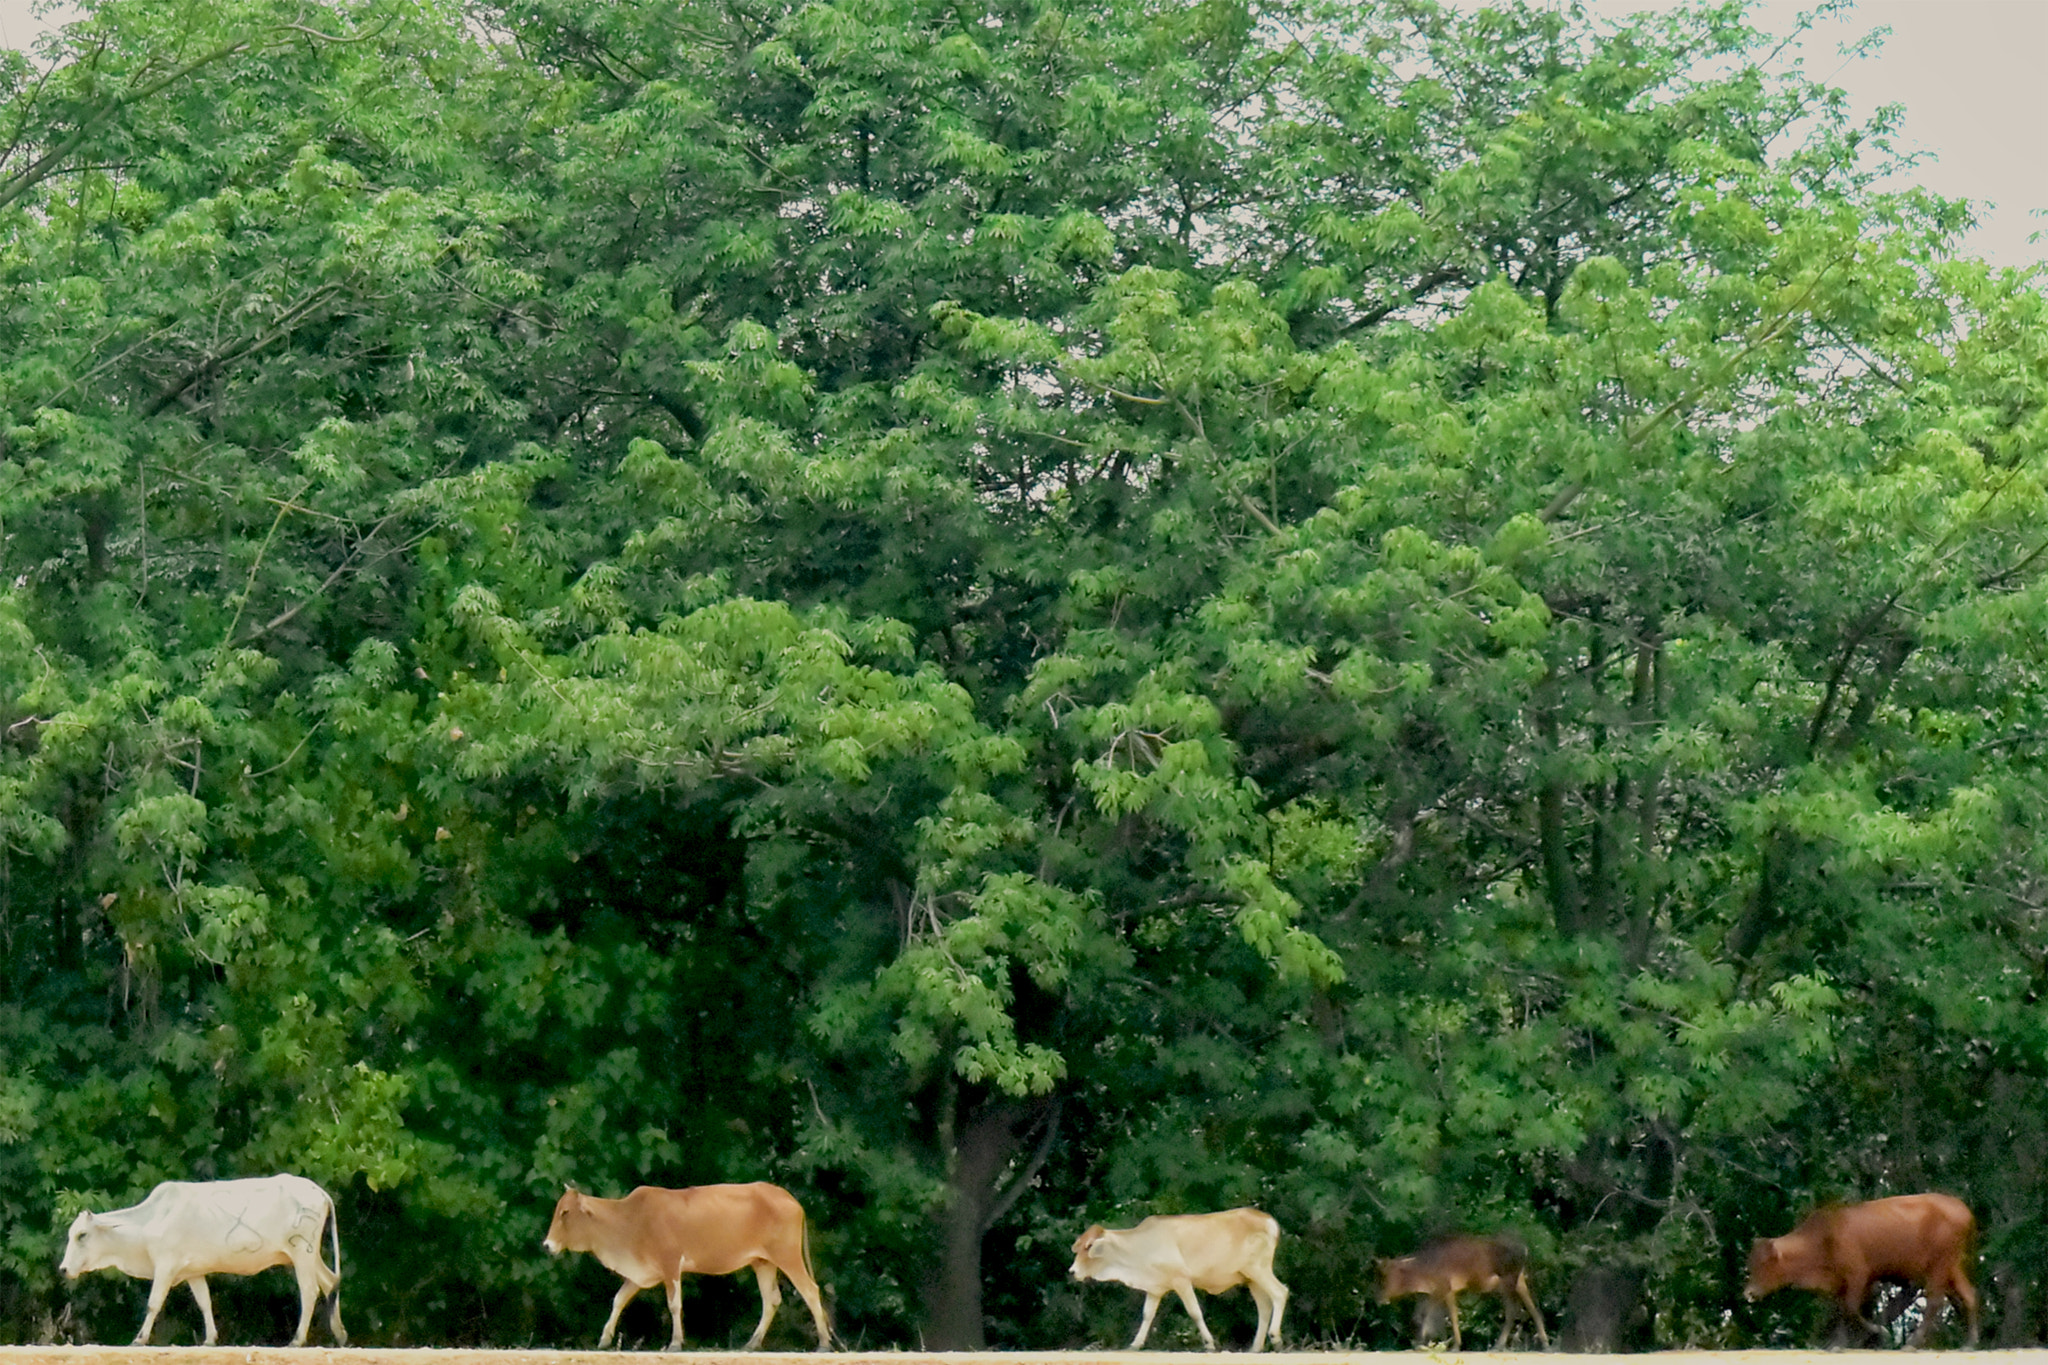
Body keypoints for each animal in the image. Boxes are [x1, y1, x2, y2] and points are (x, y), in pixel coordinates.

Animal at [548, 1178, 835, 1350]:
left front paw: (675, 1342)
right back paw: (752, 1343)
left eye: (565, 1212)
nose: (548, 1244)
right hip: (762, 1262)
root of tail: (790, 1199)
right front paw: (604, 1339)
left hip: (787, 1256)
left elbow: (674, 1304)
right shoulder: (641, 1274)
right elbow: (619, 1299)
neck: (630, 1220)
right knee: (772, 1299)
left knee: (810, 1291)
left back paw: (823, 1342)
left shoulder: (670, 1264)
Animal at [1073, 1211, 1277, 1350]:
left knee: (1279, 1293)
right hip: (1251, 1279)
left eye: (1089, 1247)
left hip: (1258, 1269)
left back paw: (1276, 1338)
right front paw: (1135, 1344)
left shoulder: (1181, 1280)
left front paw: (1209, 1343)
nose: (1072, 1270)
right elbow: (1147, 1315)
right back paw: (1256, 1347)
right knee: (1265, 1306)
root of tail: (1268, 1220)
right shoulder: (1154, 1289)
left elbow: (1195, 1312)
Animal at [1384, 1236, 1540, 1350]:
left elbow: (1444, 1317)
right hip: (1516, 1282)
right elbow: (1427, 1317)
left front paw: (1448, 1345)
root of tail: (1525, 1249)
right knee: (1529, 1308)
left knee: (1514, 1310)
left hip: (1507, 1283)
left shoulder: (1444, 1288)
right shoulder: (1433, 1293)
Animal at [1753, 1186, 1974, 1350]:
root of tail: (1963, 1209)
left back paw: (1912, 1344)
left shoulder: (1858, 1276)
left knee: (1935, 1302)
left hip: (1938, 1268)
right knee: (1968, 1295)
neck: (1823, 1235)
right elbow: (1840, 1310)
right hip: (1951, 1268)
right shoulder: (1843, 1283)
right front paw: (1837, 1343)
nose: (1749, 1293)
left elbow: (1851, 1308)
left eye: (1764, 1263)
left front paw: (1879, 1332)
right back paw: (1970, 1342)